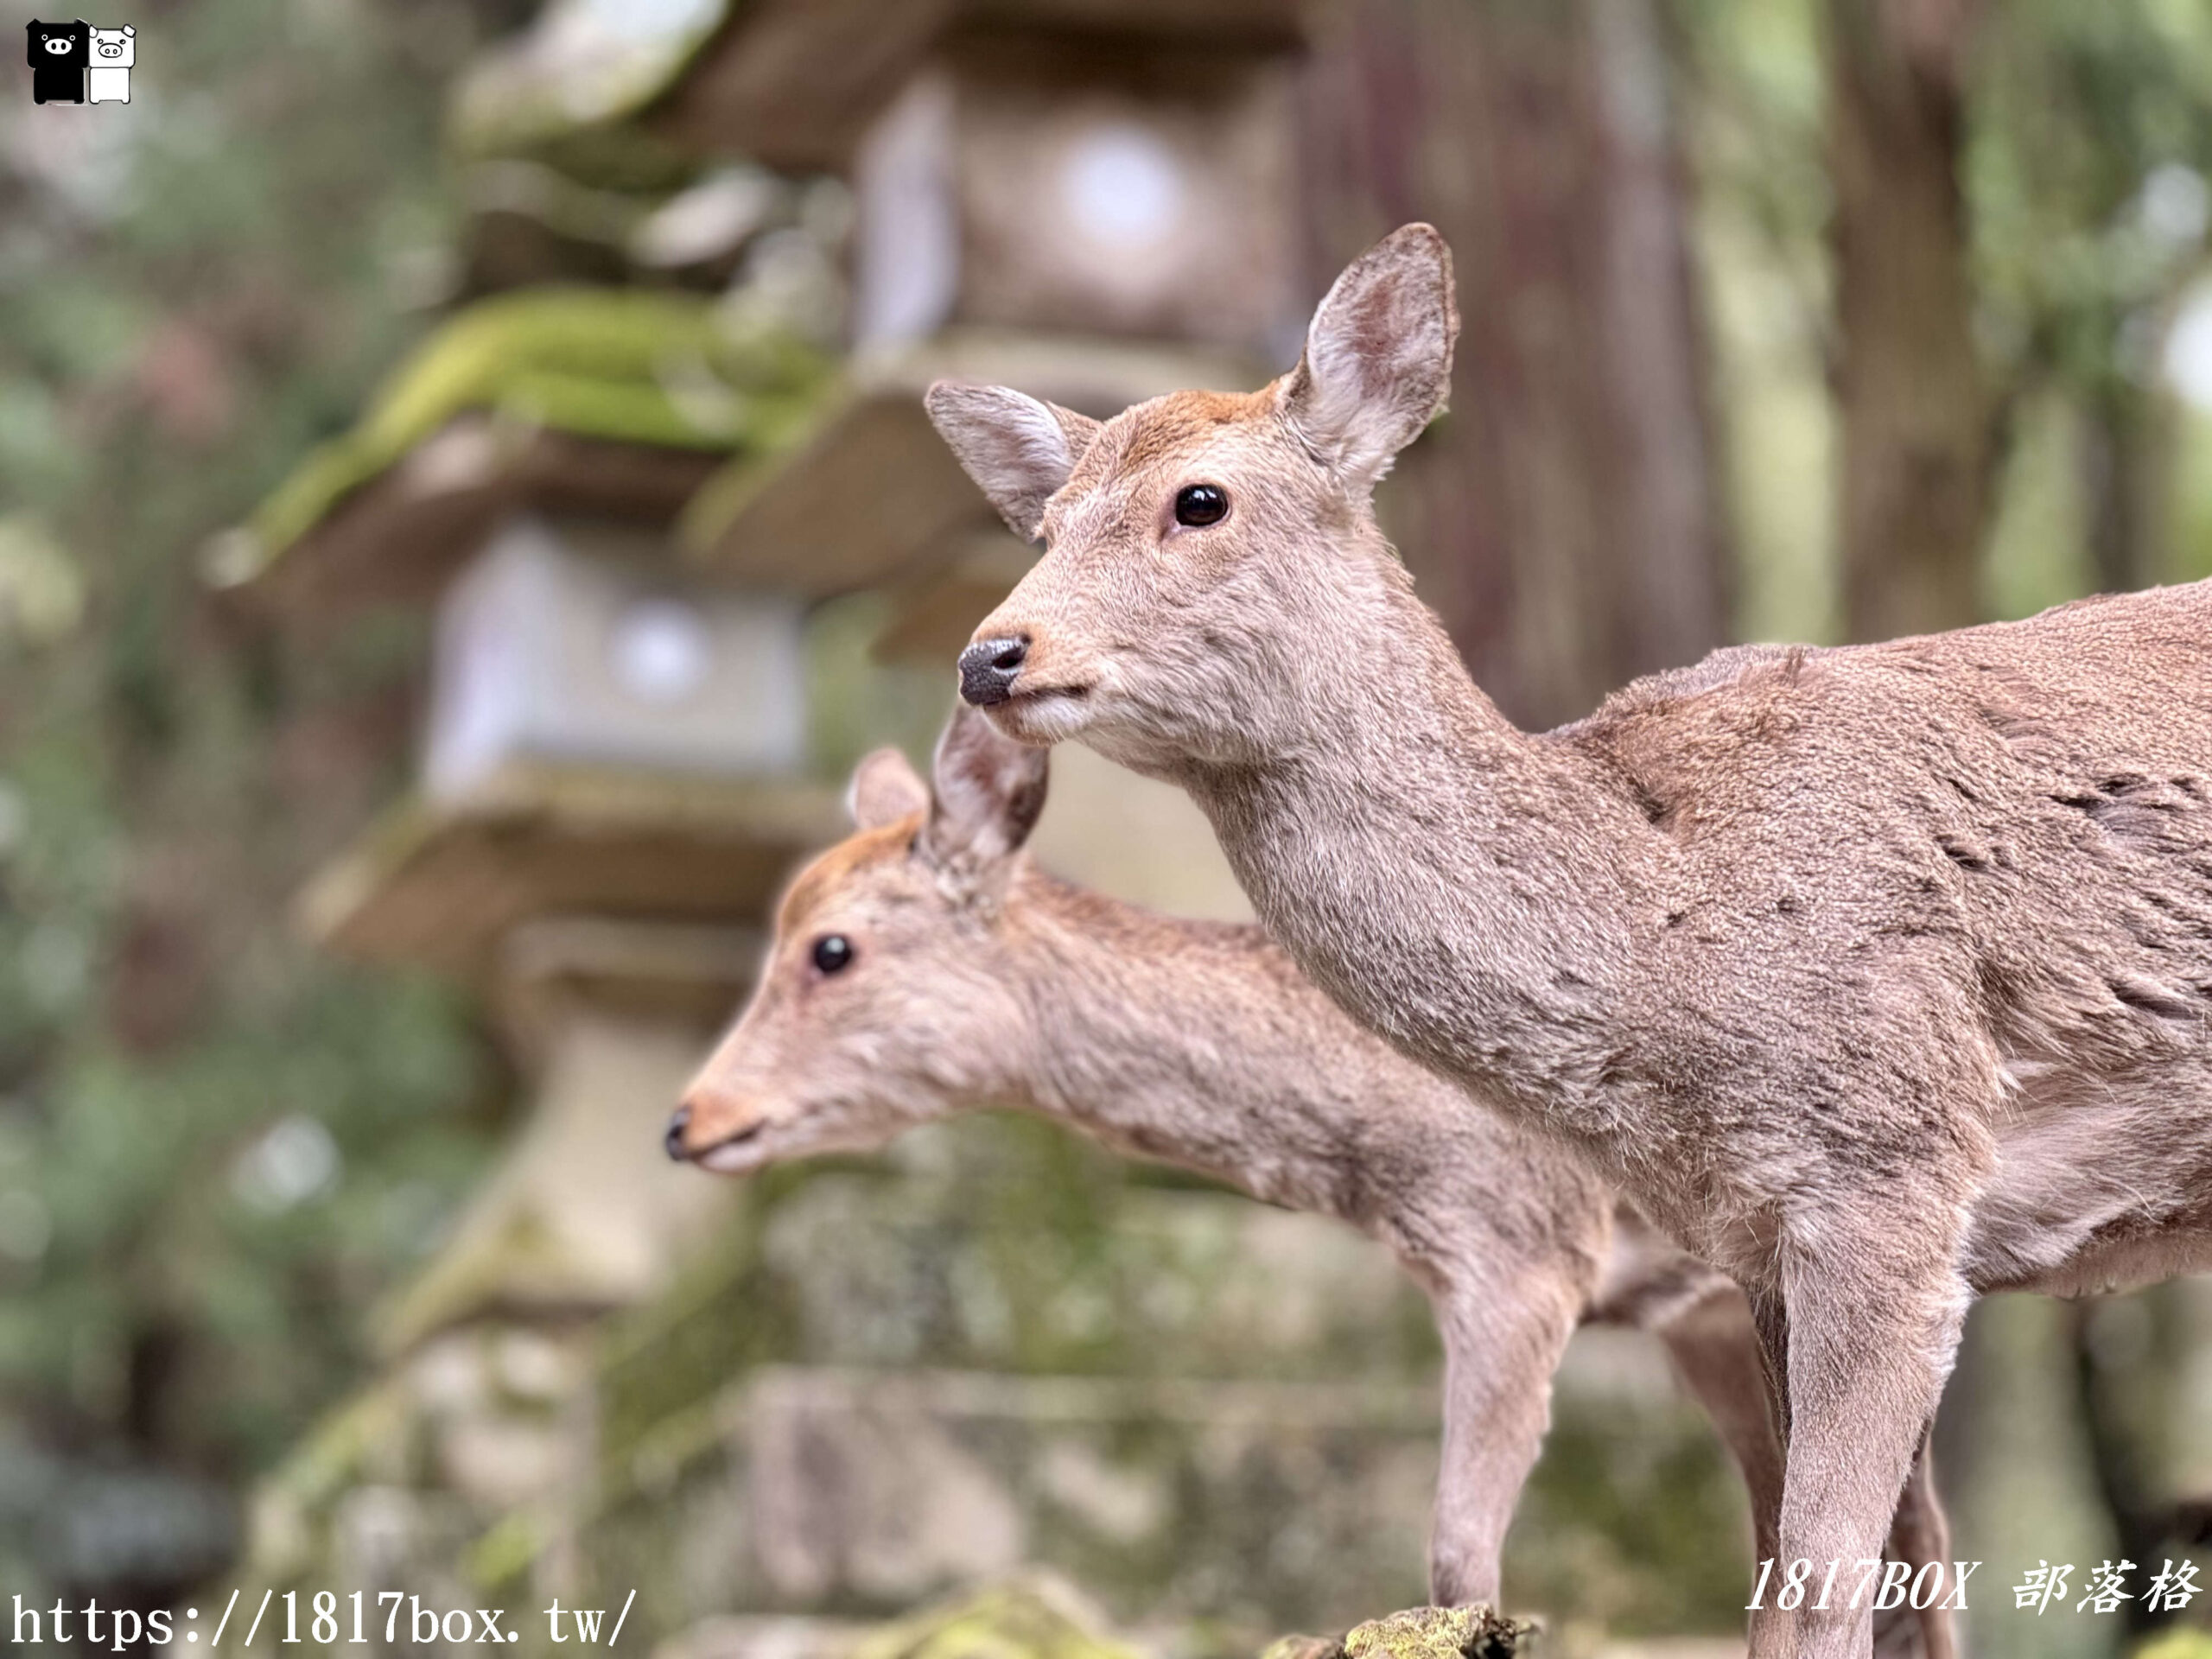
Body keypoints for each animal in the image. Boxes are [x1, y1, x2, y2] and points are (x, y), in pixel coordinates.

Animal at [933, 224, 2212, 1659]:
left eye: (1197, 500)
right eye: (1042, 524)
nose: (992, 655)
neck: (1666, 932)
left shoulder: (1898, 1171)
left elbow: (1822, 1582)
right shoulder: (1751, 1242)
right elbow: (1850, 1581)